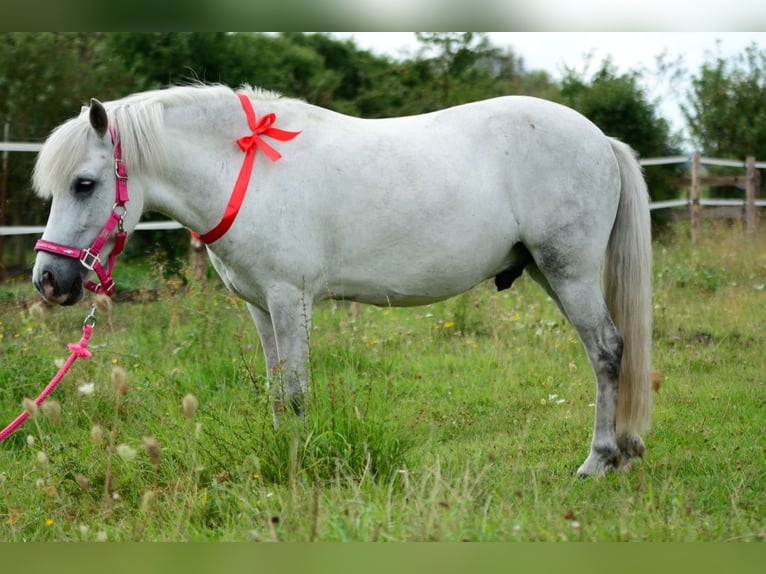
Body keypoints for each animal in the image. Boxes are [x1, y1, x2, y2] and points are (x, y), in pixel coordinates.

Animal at [31, 82, 656, 476]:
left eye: (84, 184)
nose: (49, 280)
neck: (247, 168)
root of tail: (599, 140)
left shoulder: (291, 299)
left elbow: (296, 391)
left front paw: (297, 462)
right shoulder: (261, 307)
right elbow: (276, 388)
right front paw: (281, 453)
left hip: (570, 273)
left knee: (606, 350)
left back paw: (600, 459)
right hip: (552, 273)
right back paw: (624, 451)